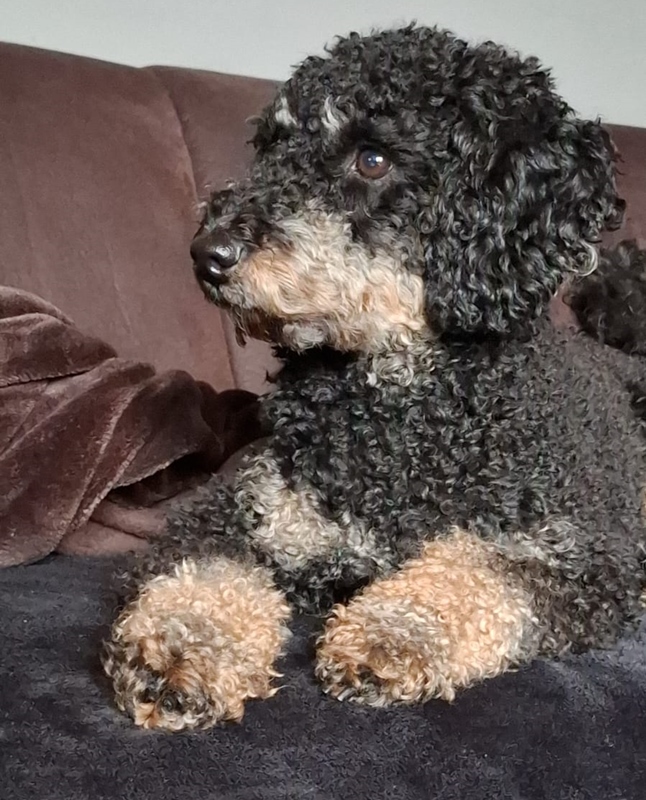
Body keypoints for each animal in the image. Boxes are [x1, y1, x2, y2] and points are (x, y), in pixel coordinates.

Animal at [103, 25, 646, 732]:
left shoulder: (584, 558)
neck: (396, 420)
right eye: (272, 149)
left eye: (373, 159)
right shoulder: (237, 512)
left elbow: (480, 568)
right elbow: (205, 569)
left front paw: (394, 630)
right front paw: (183, 644)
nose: (207, 254)